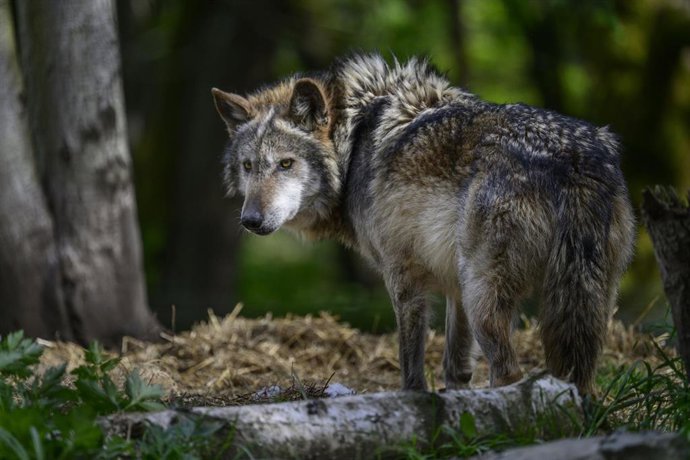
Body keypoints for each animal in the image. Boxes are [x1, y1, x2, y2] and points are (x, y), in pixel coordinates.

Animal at [211, 54, 635, 394]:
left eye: (286, 164)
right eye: (248, 166)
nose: (251, 220)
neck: (354, 139)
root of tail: (572, 159)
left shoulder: (403, 277)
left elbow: (411, 366)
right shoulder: (453, 287)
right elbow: (455, 369)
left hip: (485, 296)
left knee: (509, 371)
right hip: (580, 302)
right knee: (580, 376)